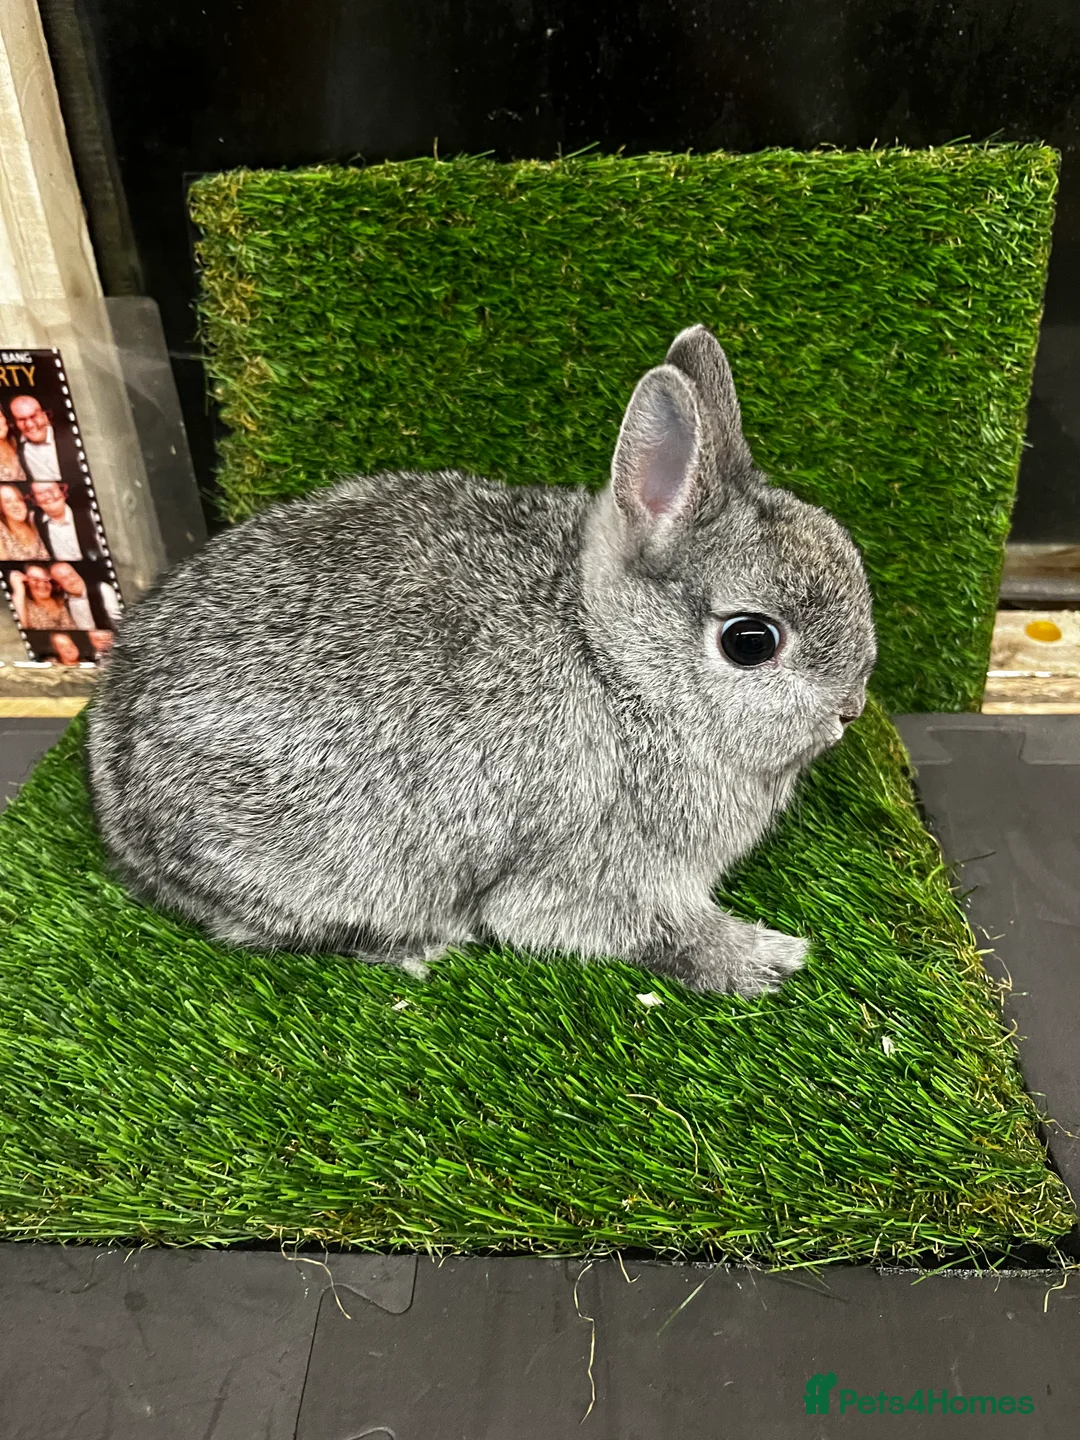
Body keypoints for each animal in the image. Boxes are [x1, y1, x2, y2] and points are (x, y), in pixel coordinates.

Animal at [87, 325, 876, 996]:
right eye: (750, 640)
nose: (851, 710)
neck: (615, 663)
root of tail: (119, 809)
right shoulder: (590, 867)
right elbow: (651, 929)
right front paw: (764, 959)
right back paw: (419, 949)